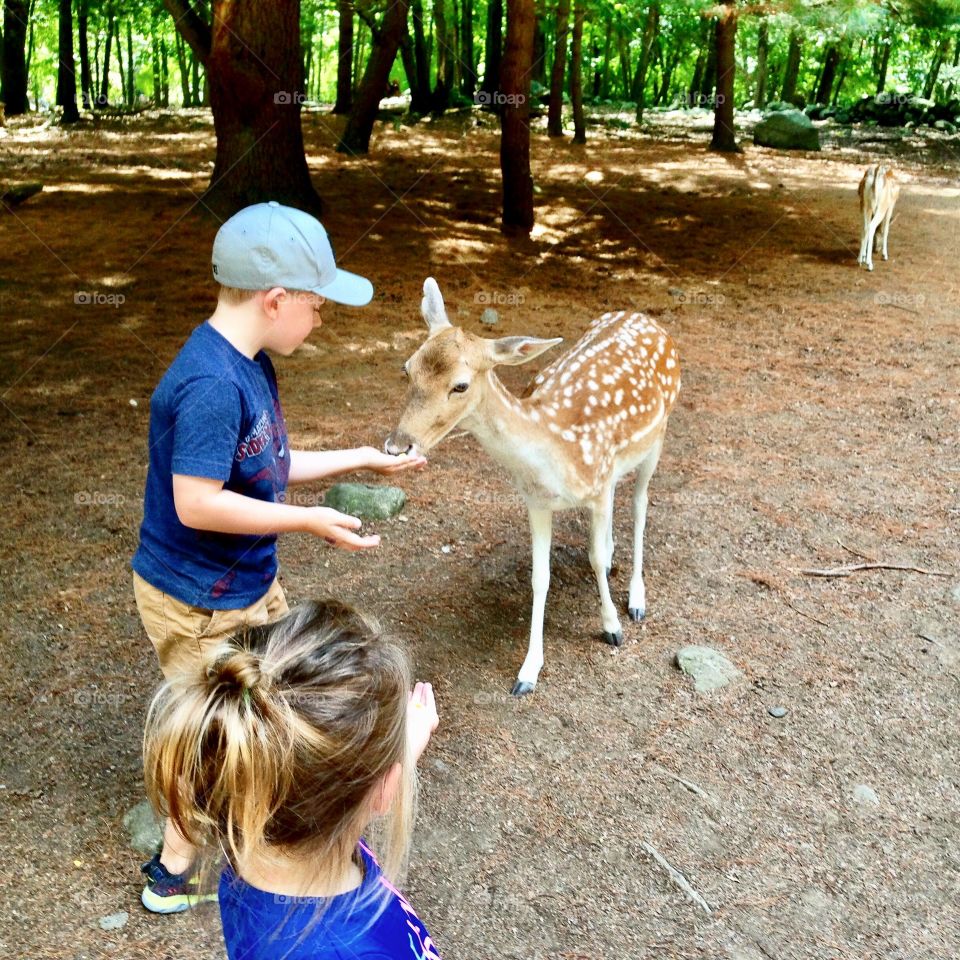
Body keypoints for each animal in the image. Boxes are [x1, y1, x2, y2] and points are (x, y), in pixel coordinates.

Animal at [386, 274, 680, 692]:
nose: (397, 445)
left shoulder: (596, 487)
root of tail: (645, 318)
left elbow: (593, 557)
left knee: (640, 505)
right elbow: (540, 577)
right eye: (407, 368)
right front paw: (528, 671)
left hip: (658, 436)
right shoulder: (537, 501)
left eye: (460, 385)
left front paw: (612, 627)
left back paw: (636, 598)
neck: (552, 447)